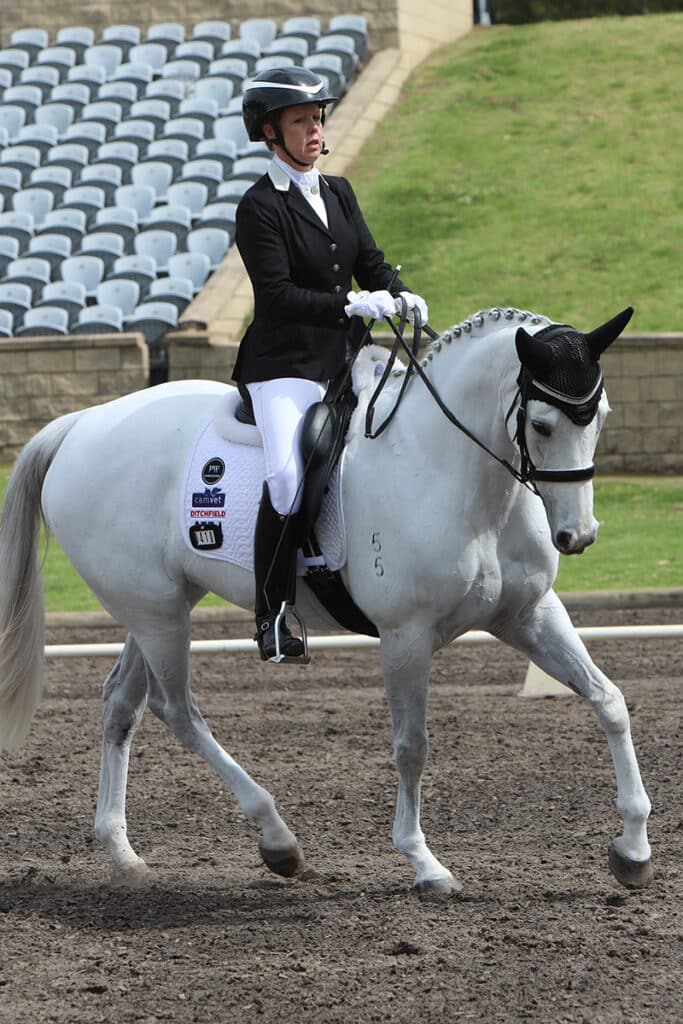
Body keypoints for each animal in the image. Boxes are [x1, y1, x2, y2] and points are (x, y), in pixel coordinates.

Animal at [0, 305, 654, 895]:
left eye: (599, 418)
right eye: (541, 425)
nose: (578, 536)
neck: (452, 469)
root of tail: (81, 425)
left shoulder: (528, 615)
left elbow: (610, 700)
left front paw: (633, 849)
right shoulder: (406, 634)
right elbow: (412, 746)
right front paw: (423, 862)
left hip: (157, 605)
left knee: (123, 702)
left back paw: (123, 853)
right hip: (157, 613)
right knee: (176, 709)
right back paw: (278, 840)